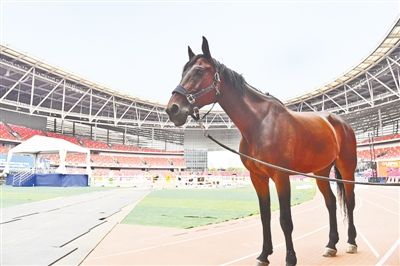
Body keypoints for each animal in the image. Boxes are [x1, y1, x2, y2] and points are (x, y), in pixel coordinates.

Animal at [164, 37, 358, 266]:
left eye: (199, 71)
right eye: (183, 72)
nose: (173, 109)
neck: (260, 124)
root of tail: (341, 122)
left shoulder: (281, 176)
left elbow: (285, 220)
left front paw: (290, 258)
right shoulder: (258, 177)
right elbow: (265, 216)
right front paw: (264, 255)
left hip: (347, 169)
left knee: (350, 202)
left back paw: (351, 242)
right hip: (321, 172)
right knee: (331, 203)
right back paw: (331, 245)